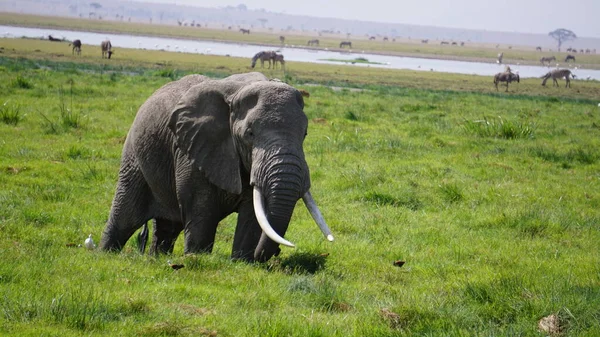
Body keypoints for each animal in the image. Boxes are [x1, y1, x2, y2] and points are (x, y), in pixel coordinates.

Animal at [99, 72, 332, 262]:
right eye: (250, 134)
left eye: (305, 134)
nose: (277, 253)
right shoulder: (194, 147)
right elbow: (202, 207)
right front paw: (196, 257)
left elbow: (252, 214)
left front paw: (242, 262)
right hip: (134, 157)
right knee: (125, 217)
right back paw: (104, 254)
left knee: (168, 227)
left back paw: (156, 258)